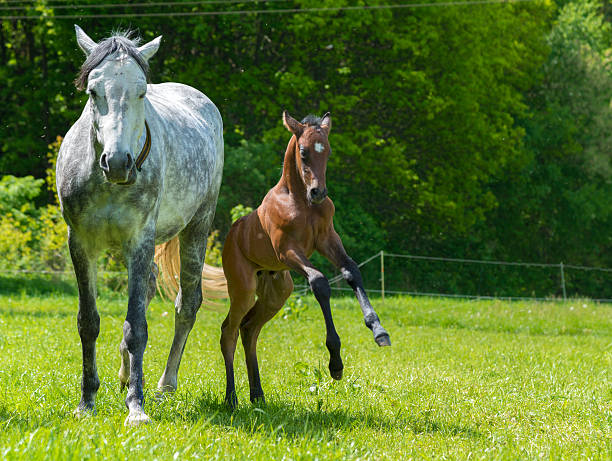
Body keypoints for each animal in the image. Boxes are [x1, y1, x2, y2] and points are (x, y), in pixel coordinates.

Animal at [56, 27, 224, 426]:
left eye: (142, 91)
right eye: (93, 91)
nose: (118, 162)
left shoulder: (140, 241)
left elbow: (137, 327)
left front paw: (137, 407)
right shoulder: (81, 244)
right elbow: (89, 322)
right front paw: (86, 402)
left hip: (197, 229)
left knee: (186, 304)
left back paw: (164, 385)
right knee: (148, 289)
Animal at [222, 111, 390, 406]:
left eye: (328, 151)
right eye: (303, 151)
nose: (318, 192)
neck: (300, 201)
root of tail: (231, 235)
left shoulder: (327, 239)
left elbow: (351, 271)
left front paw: (378, 331)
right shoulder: (287, 250)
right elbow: (320, 282)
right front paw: (335, 363)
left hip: (277, 293)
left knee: (249, 329)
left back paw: (257, 396)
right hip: (243, 289)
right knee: (228, 332)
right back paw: (231, 398)